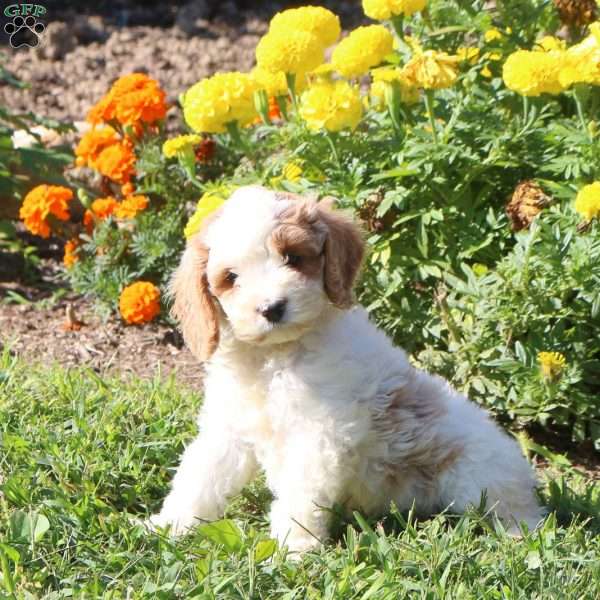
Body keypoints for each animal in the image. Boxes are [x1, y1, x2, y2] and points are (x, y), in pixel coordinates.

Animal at [151, 185, 544, 552]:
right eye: (231, 278)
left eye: (293, 257)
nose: (272, 308)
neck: (274, 357)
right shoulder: (227, 429)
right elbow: (199, 476)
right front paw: (169, 525)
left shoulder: (318, 434)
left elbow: (299, 495)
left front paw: (293, 548)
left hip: (477, 477)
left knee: (517, 510)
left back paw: (520, 534)